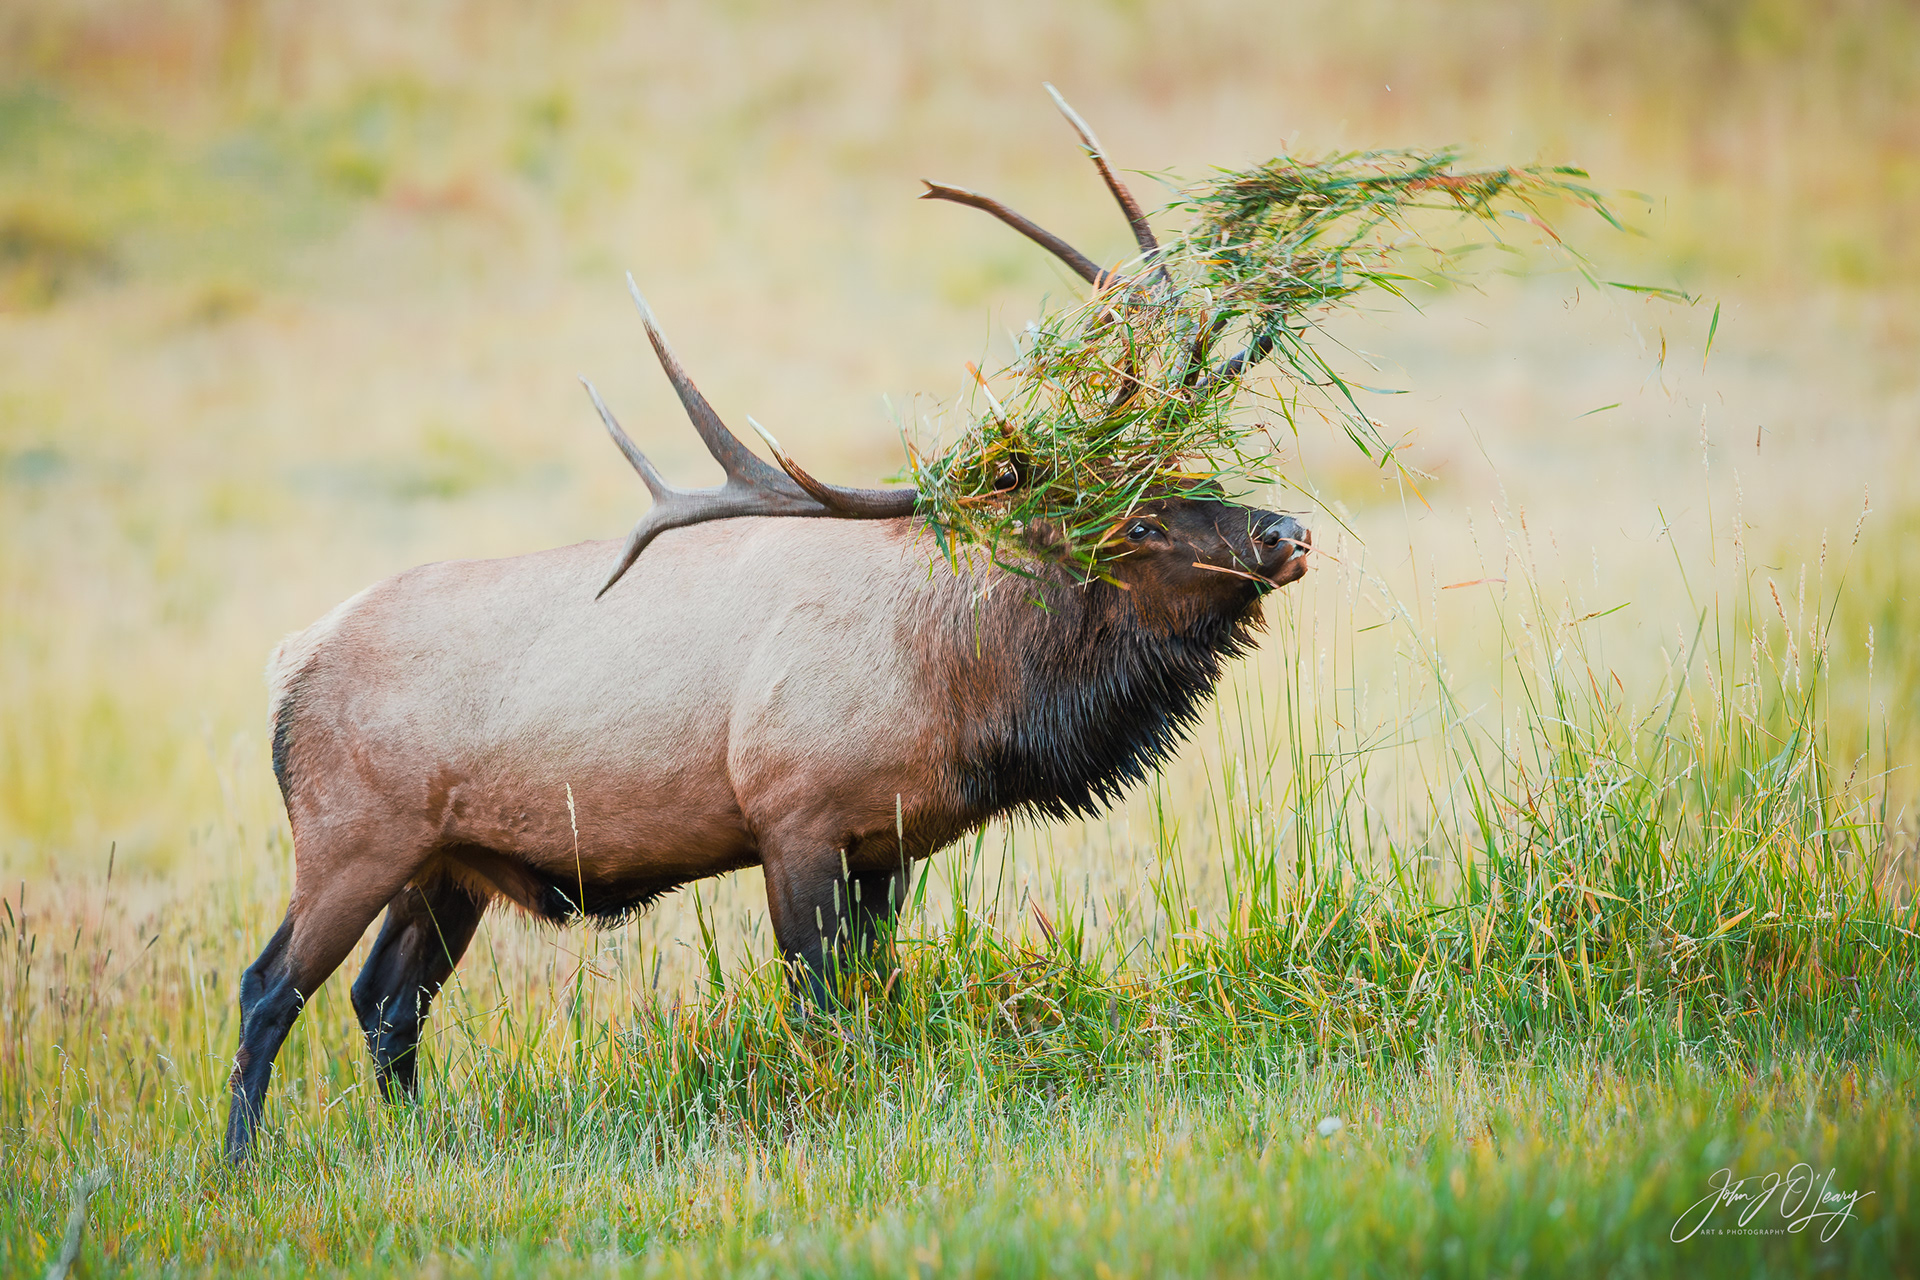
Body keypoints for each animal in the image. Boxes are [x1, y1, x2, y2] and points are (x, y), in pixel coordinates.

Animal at [223, 92, 1311, 1163]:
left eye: (1190, 475)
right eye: (1138, 524)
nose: (1286, 530)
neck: (963, 687)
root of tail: (286, 667)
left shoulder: (888, 843)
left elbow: (877, 993)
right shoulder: (793, 815)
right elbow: (818, 1006)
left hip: (449, 860)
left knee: (387, 998)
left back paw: (420, 1136)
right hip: (350, 833)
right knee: (270, 984)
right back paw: (242, 1159)